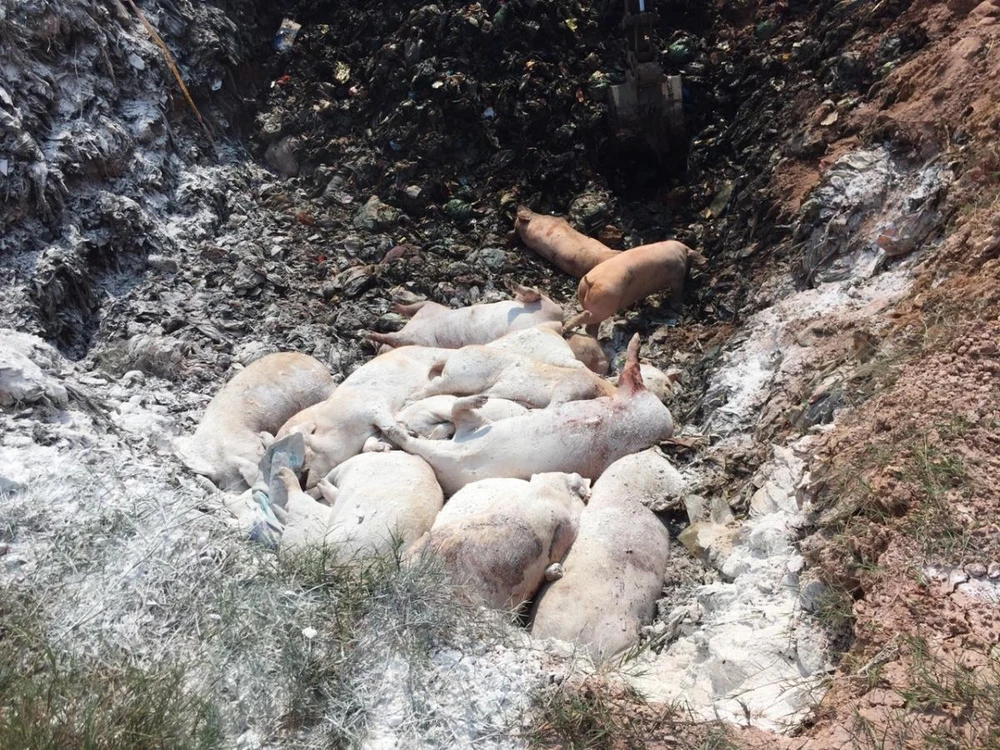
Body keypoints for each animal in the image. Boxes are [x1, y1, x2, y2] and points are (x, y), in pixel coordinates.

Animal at [277, 346, 450, 487]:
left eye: (307, 452)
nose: (300, 478)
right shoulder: (370, 428)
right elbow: (369, 443)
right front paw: (383, 448)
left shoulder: (374, 407)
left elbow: (390, 428)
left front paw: (410, 433)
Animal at [367, 282, 564, 350]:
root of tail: (558, 320)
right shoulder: (428, 311)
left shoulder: (422, 340)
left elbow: (396, 338)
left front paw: (371, 335)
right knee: (533, 296)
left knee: (536, 295)